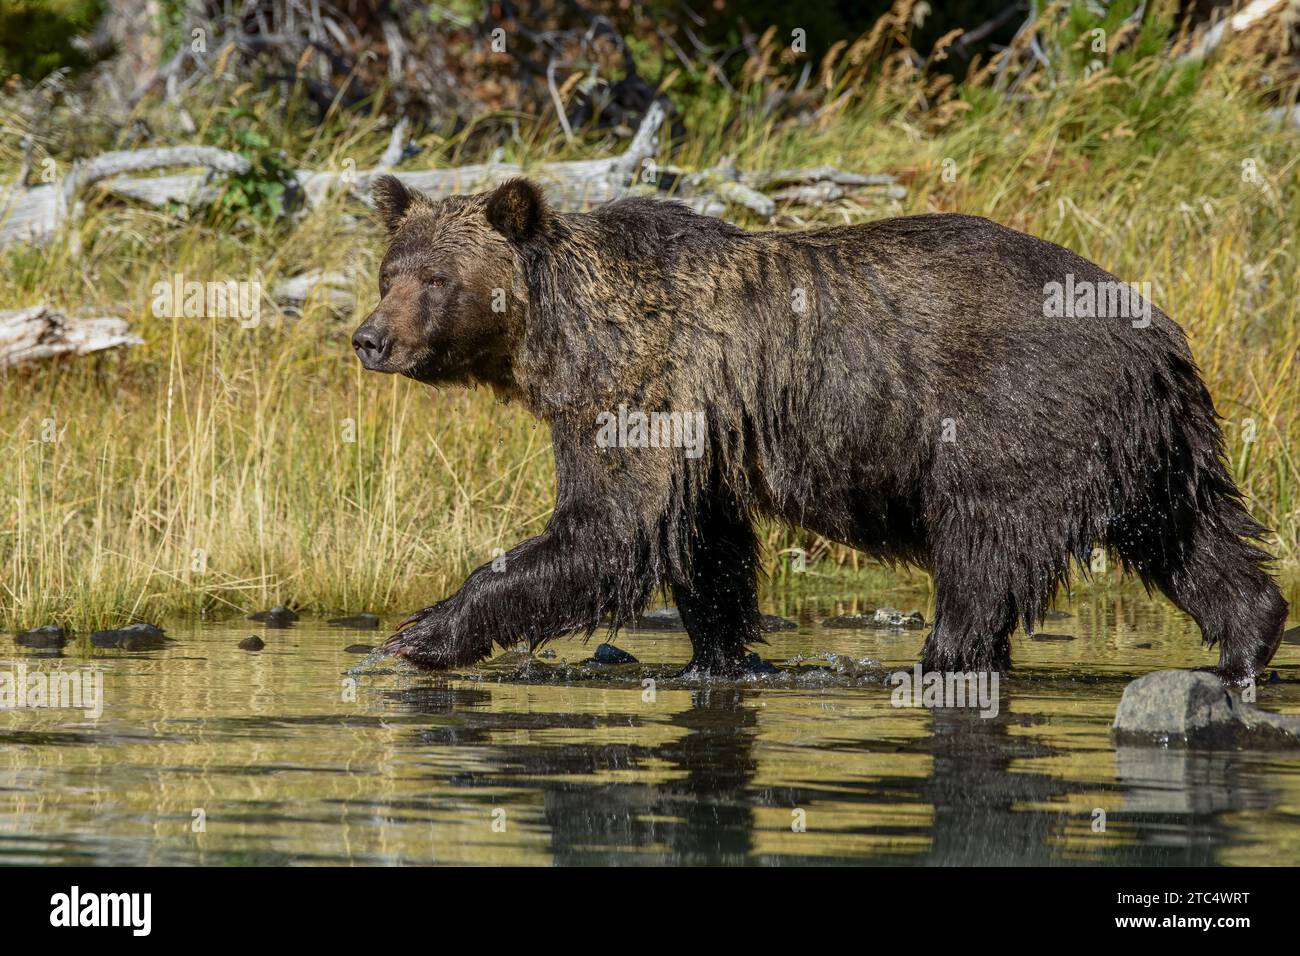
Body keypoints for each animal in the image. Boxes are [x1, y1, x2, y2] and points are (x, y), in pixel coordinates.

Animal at [356, 171, 1289, 681]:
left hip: (1017, 417)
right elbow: (704, 546)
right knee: (1193, 537)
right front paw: (722, 653)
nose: (369, 337)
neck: (562, 337)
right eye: (387, 271)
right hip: (1155, 446)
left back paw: (947, 654)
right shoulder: (707, 430)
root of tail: (1158, 337)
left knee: (983, 550)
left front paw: (418, 634)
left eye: (435, 279)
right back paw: (1247, 638)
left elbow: (607, 530)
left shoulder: (642, 389)